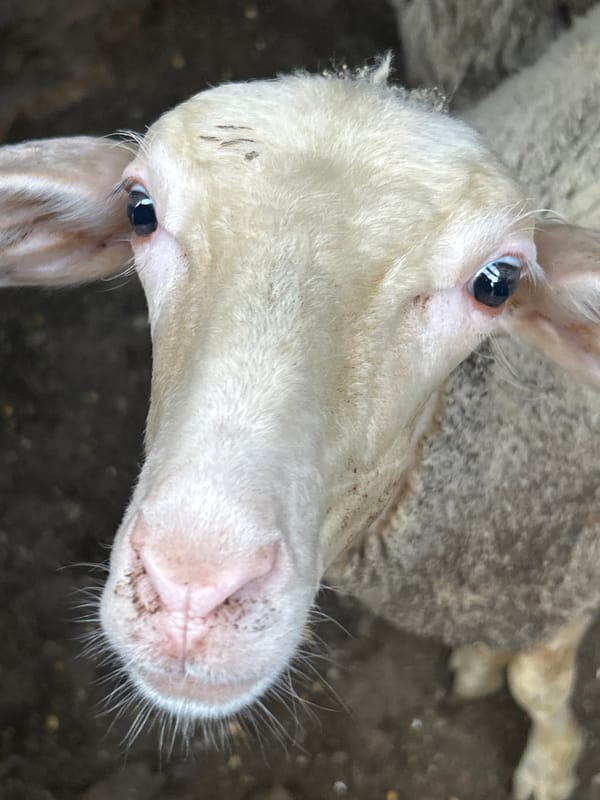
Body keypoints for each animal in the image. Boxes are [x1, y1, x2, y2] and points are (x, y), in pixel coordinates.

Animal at [1, 23, 599, 800]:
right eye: (140, 211)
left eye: (497, 283)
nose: (190, 590)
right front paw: (481, 663)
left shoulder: (568, 573)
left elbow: (538, 682)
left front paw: (548, 766)